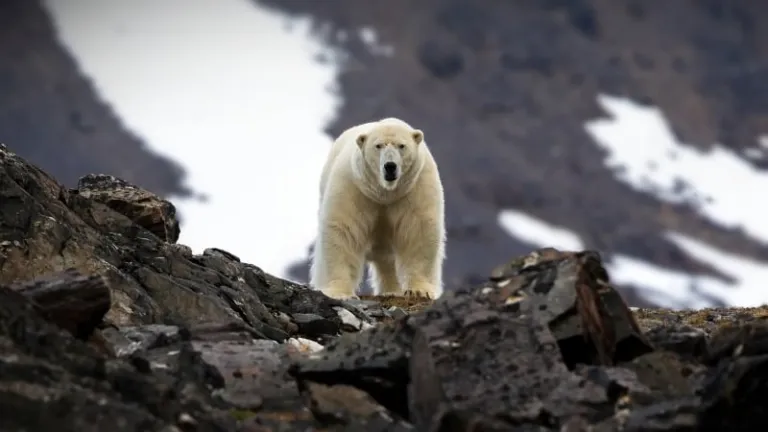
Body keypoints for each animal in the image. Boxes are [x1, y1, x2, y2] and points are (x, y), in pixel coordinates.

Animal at [310, 117, 446, 300]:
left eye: (401, 145)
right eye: (378, 145)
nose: (390, 166)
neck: (385, 193)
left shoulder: (415, 187)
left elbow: (419, 230)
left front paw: (419, 290)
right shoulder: (354, 188)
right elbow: (343, 230)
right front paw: (340, 292)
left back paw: (392, 290)